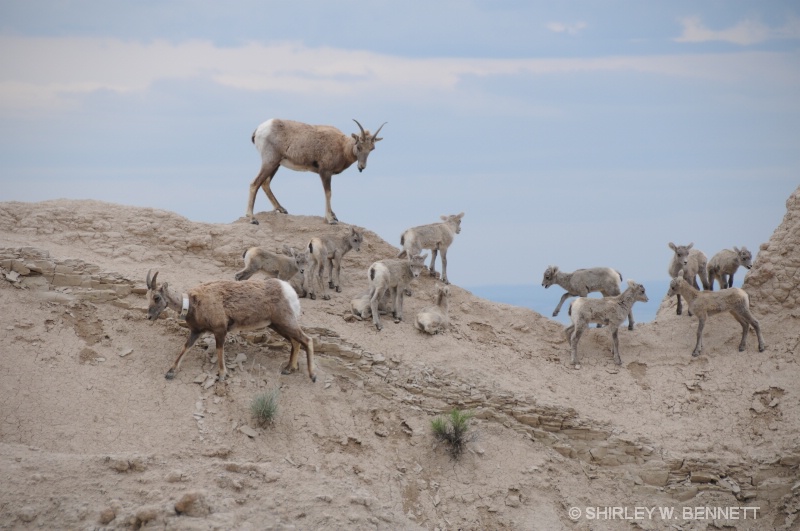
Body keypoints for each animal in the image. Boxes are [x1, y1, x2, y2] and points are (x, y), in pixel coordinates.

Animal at [147, 272, 316, 384]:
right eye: (148, 297)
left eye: (156, 297)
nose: (149, 317)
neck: (192, 303)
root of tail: (289, 291)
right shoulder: (196, 332)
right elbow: (185, 348)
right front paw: (171, 372)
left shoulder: (220, 331)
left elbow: (219, 351)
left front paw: (222, 375)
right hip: (278, 326)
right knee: (296, 342)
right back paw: (288, 369)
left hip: (285, 323)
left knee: (307, 340)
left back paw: (312, 375)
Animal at [245, 118, 386, 224]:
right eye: (359, 146)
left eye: (372, 148)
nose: (361, 167)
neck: (341, 146)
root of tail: (260, 129)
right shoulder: (325, 173)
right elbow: (328, 193)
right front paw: (330, 220)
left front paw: (333, 216)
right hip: (270, 162)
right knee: (255, 183)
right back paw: (252, 219)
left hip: (276, 165)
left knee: (265, 183)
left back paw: (281, 209)